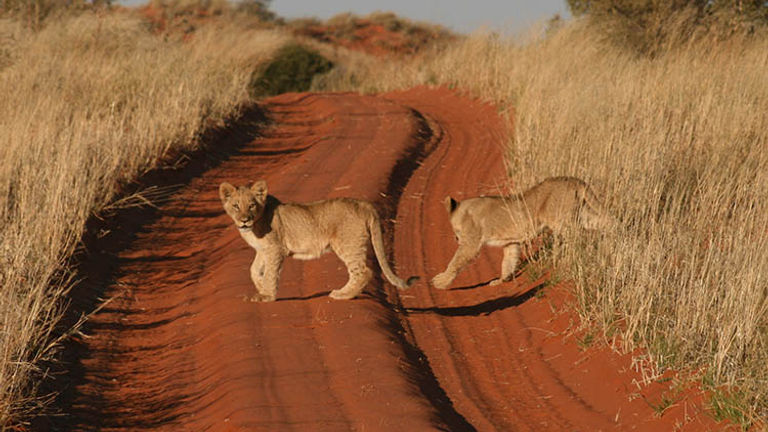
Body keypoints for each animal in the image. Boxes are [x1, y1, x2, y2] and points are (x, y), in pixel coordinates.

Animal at [219, 180, 418, 301]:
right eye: (236, 206)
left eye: (251, 205)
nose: (244, 220)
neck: (254, 226)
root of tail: (364, 204)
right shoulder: (263, 250)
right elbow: (254, 270)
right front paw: (261, 289)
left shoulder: (276, 249)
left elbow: (270, 273)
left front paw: (267, 296)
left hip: (348, 245)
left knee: (363, 272)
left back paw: (343, 295)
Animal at [431, 176, 612, 289]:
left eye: (457, 230)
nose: (456, 239)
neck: (466, 211)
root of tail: (574, 180)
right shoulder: (511, 243)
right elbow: (508, 262)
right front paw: (500, 281)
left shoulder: (471, 243)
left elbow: (455, 262)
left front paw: (440, 282)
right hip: (583, 214)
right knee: (605, 221)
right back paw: (614, 237)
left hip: (561, 220)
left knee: (577, 236)